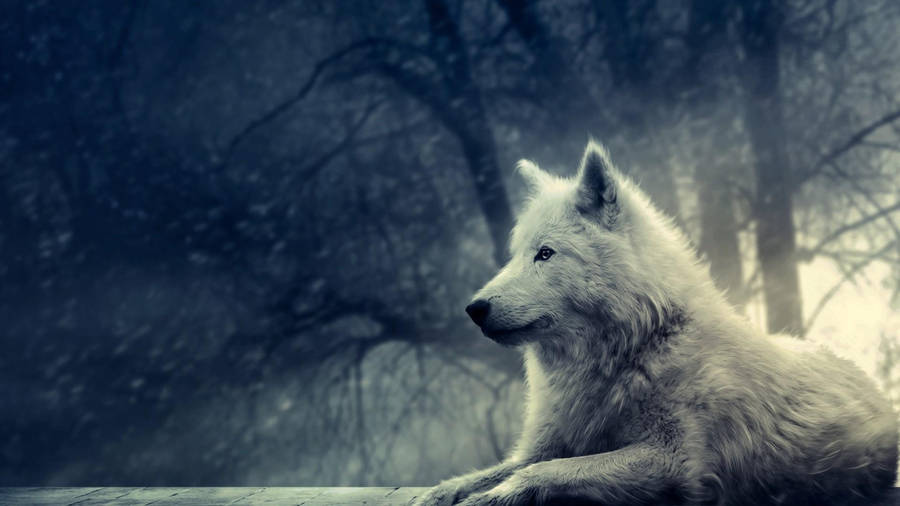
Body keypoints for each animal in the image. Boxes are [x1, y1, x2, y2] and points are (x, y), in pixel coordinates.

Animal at [416, 142, 898, 505]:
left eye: (546, 253)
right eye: (516, 255)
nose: (474, 308)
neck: (635, 347)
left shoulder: (673, 460)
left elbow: (545, 472)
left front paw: (492, 497)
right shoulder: (543, 444)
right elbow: (488, 472)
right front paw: (440, 493)